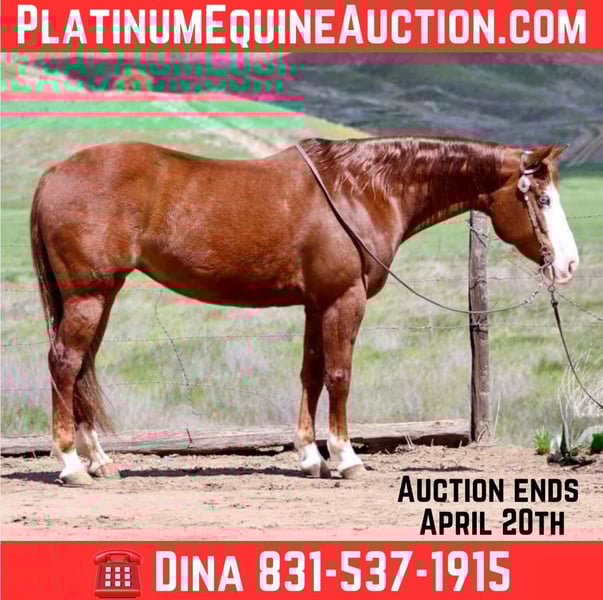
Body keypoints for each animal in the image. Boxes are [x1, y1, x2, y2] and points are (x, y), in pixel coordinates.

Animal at [30, 136, 579, 485]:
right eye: (543, 199)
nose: (570, 264)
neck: (362, 189)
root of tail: (54, 173)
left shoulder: (317, 305)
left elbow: (311, 374)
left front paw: (310, 457)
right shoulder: (343, 301)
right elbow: (339, 375)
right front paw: (345, 458)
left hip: (101, 297)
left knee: (82, 370)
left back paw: (101, 462)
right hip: (88, 297)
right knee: (64, 364)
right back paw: (72, 466)